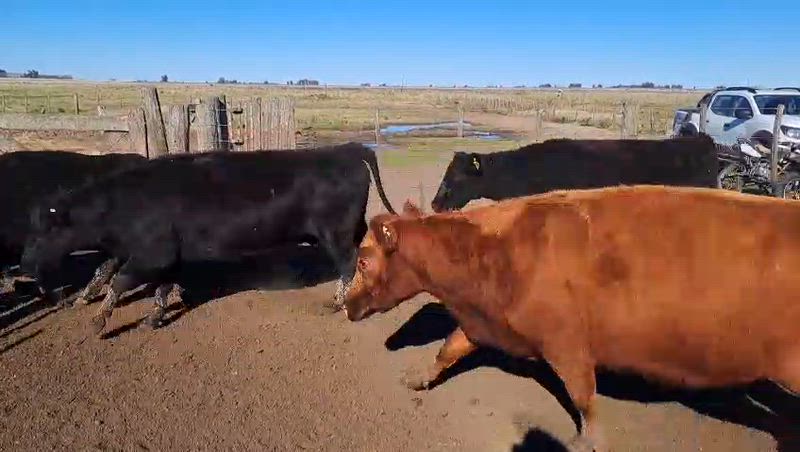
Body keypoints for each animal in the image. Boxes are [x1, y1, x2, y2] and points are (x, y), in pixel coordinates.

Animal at [21, 142, 396, 335]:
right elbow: (149, 284)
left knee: (347, 263)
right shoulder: (164, 255)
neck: (124, 204)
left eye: (45, 231)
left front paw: (100, 319)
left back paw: (338, 302)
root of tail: (348, 148)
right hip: (347, 228)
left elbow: (121, 281)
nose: (24, 262)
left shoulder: (152, 254)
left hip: (334, 233)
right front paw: (154, 317)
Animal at [342, 186, 800, 452]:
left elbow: (583, 397)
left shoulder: (567, 344)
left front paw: (587, 441)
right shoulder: (480, 323)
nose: (346, 306)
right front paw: (417, 378)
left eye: (363, 261)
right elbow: (447, 350)